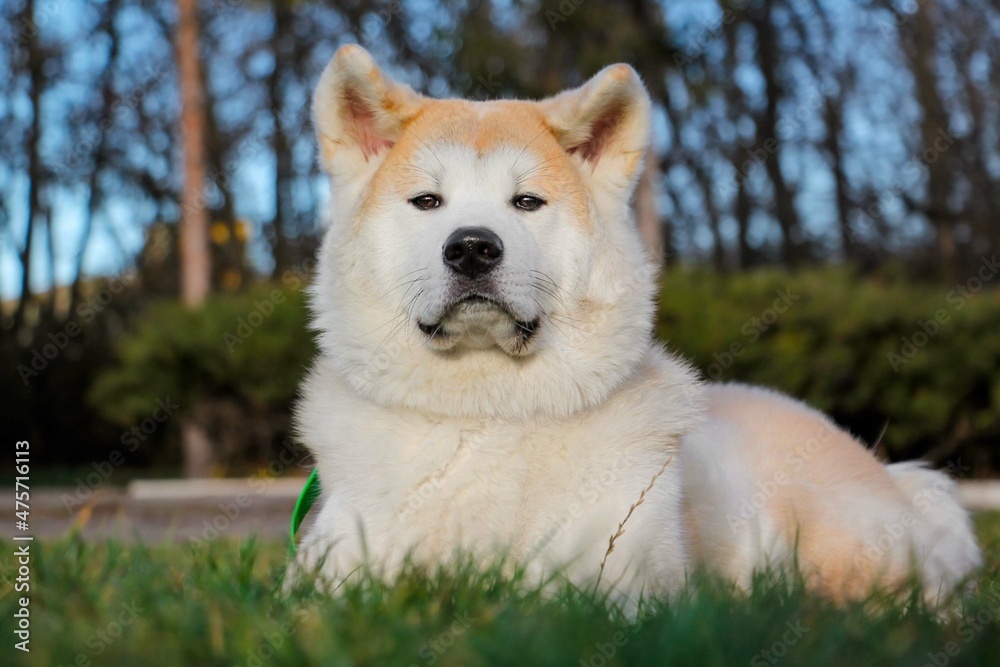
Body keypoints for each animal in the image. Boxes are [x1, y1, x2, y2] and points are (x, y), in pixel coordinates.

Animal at [292, 44, 980, 604]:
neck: (489, 411)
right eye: (427, 202)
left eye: (527, 202)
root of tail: (888, 475)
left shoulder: (625, 574)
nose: (472, 248)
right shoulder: (332, 572)